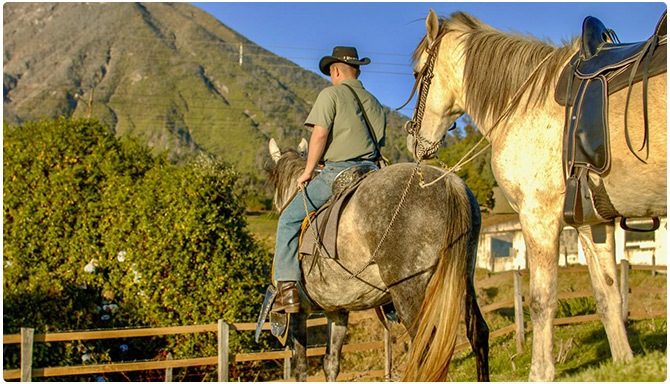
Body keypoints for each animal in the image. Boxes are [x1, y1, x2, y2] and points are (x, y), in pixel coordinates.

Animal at [270, 140, 494, 382]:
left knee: (425, 347)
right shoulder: (337, 312)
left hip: (409, 291)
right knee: (478, 332)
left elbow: (300, 367)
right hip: (462, 279)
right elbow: (331, 363)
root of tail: (449, 181)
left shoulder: (299, 312)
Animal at [406, 9, 668, 380]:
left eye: (418, 72)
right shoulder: (593, 224)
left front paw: (540, 372)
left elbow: (542, 300)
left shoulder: (538, 215)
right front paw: (625, 362)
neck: (525, 101)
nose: (413, 139)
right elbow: (607, 294)